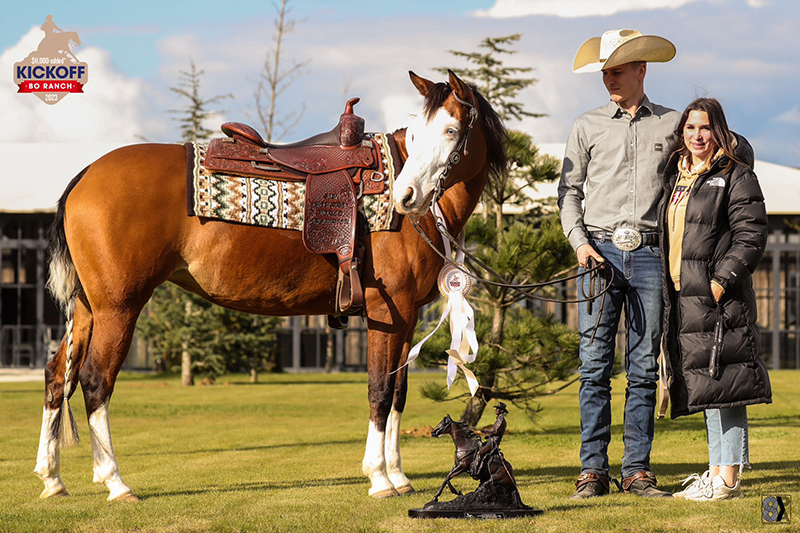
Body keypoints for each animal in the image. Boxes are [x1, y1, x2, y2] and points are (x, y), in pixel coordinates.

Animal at [36, 69, 506, 498]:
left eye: (450, 130)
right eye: (423, 130)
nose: (406, 196)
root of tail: (85, 175)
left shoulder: (406, 319)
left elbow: (398, 394)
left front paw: (399, 476)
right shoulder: (384, 314)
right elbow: (379, 390)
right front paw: (378, 478)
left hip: (88, 308)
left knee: (58, 374)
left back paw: (53, 478)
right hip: (118, 307)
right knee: (95, 380)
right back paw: (115, 482)